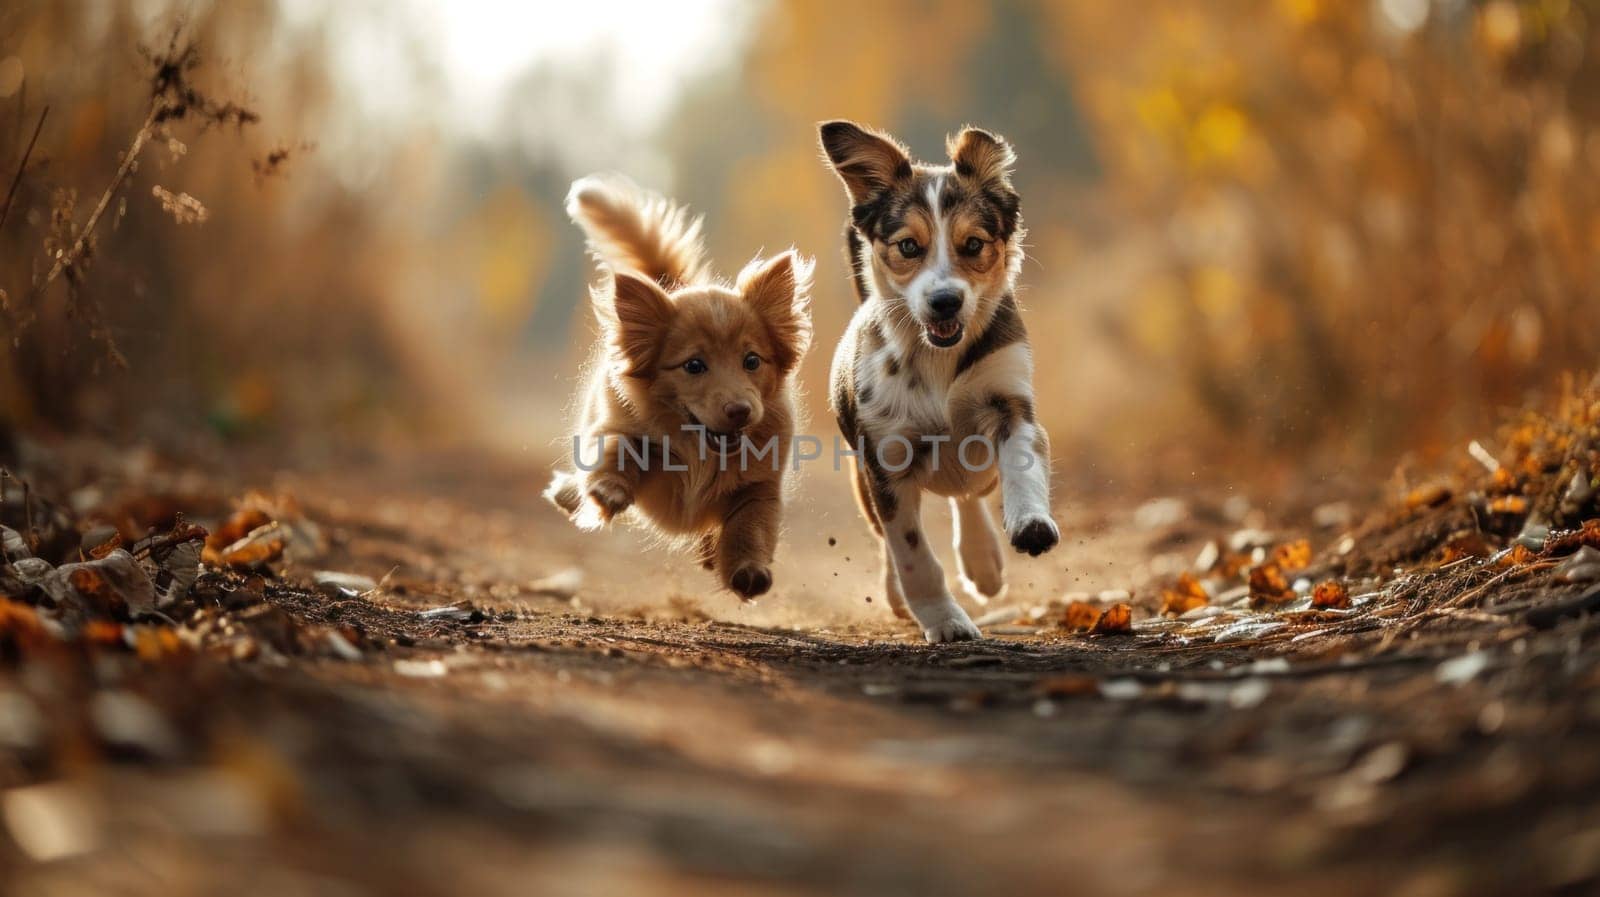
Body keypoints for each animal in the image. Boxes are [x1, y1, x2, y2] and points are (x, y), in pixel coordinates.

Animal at [547, 173, 812, 594]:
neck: (702, 452)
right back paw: (570, 494)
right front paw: (607, 492)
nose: (741, 411)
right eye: (694, 365)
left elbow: (751, 526)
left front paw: (748, 570)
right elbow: (618, 451)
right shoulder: (620, 427)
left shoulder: (760, 487)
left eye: (752, 361)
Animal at [819, 119, 1056, 639]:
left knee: (970, 493)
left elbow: (1023, 464)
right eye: (909, 246)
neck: (936, 362)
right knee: (888, 536)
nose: (946, 301)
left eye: (974, 245)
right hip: (863, 481)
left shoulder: (1010, 403)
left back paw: (983, 562)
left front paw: (1031, 524)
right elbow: (911, 552)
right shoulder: (885, 460)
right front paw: (944, 620)